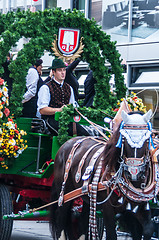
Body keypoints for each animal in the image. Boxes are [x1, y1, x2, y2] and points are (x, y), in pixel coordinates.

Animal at [49, 109, 158, 239]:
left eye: (147, 139)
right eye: (124, 139)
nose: (134, 170)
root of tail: (67, 143)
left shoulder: (139, 206)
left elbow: (148, 229)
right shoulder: (108, 209)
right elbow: (111, 234)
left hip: (87, 197)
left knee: (82, 223)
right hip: (64, 193)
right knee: (61, 220)